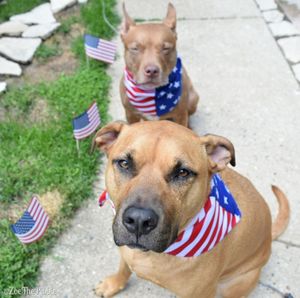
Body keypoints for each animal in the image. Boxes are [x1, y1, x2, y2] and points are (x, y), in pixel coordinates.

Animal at [93, 120, 288, 296]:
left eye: (182, 172)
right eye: (124, 163)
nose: (138, 221)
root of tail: (268, 237)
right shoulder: (126, 252)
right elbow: (123, 268)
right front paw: (113, 284)